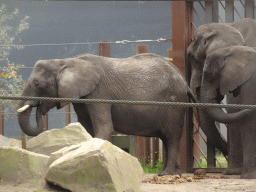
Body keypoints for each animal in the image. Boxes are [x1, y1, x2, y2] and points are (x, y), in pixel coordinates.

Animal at [16, 53, 196, 176]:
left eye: (37, 84)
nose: (39, 107)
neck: (67, 61)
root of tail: (184, 81)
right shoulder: (82, 97)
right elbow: (87, 129)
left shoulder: (99, 93)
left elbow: (103, 128)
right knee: (166, 139)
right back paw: (170, 172)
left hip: (174, 103)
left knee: (171, 137)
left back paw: (166, 174)